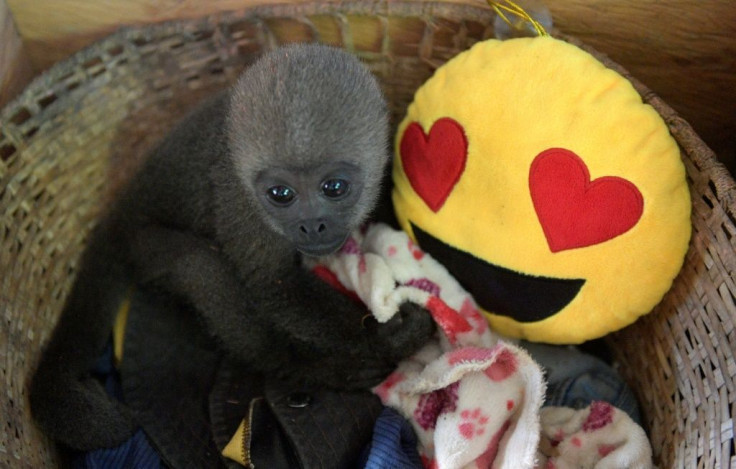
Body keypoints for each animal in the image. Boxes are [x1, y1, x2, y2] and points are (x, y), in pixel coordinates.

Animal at [30, 43, 436, 450]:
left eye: (334, 187)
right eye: (281, 194)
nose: (311, 224)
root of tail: (122, 208)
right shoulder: (241, 207)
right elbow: (272, 284)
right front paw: (387, 338)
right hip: (144, 246)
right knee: (201, 268)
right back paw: (316, 368)